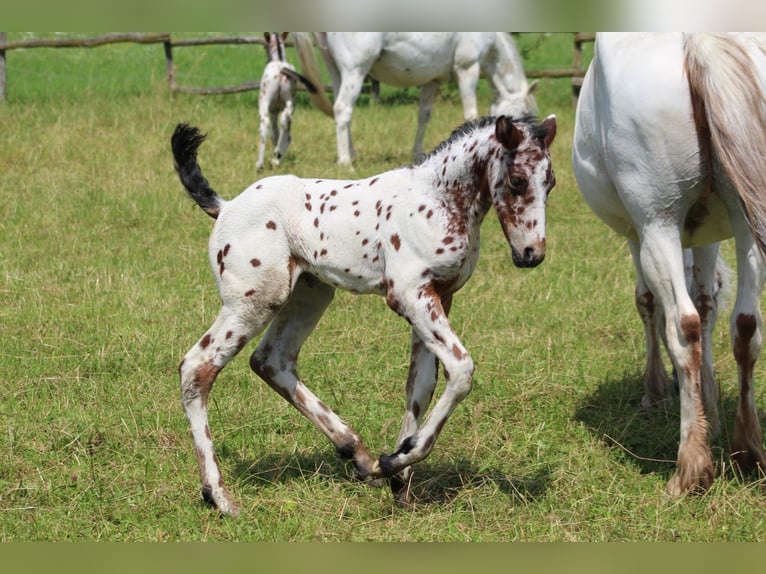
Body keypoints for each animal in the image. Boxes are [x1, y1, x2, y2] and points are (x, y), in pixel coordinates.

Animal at [172, 113, 560, 516]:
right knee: (197, 367)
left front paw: (398, 476)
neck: (437, 199)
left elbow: (421, 385)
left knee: (271, 361)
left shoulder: (440, 296)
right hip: (254, 302)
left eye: (550, 183)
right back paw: (218, 495)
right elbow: (461, 369)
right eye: (517, 181)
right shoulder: (409, 295)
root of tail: (226, 205)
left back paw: (357, 453)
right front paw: (398, 459)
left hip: (311, 294)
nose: (532, 254)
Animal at [294, 32, 540, 166]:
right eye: (524, 115)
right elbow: (470, 113)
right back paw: (345, 161)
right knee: (343, 109)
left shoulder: (432, 81)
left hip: (335, 69)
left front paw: (418, 152)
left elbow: (424, 115)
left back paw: (351, 154)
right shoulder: (467, 69)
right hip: (355, 70)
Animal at [576, 33, 766, 498]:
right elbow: (709, 299)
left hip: (657, 222)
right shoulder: (710, 233)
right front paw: (709, 404)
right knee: (746, 325)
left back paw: (690, 467)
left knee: (683, 326)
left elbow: (648, 303)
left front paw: (656, 389)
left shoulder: (636, 233)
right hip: (747, 219)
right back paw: (747, 450)